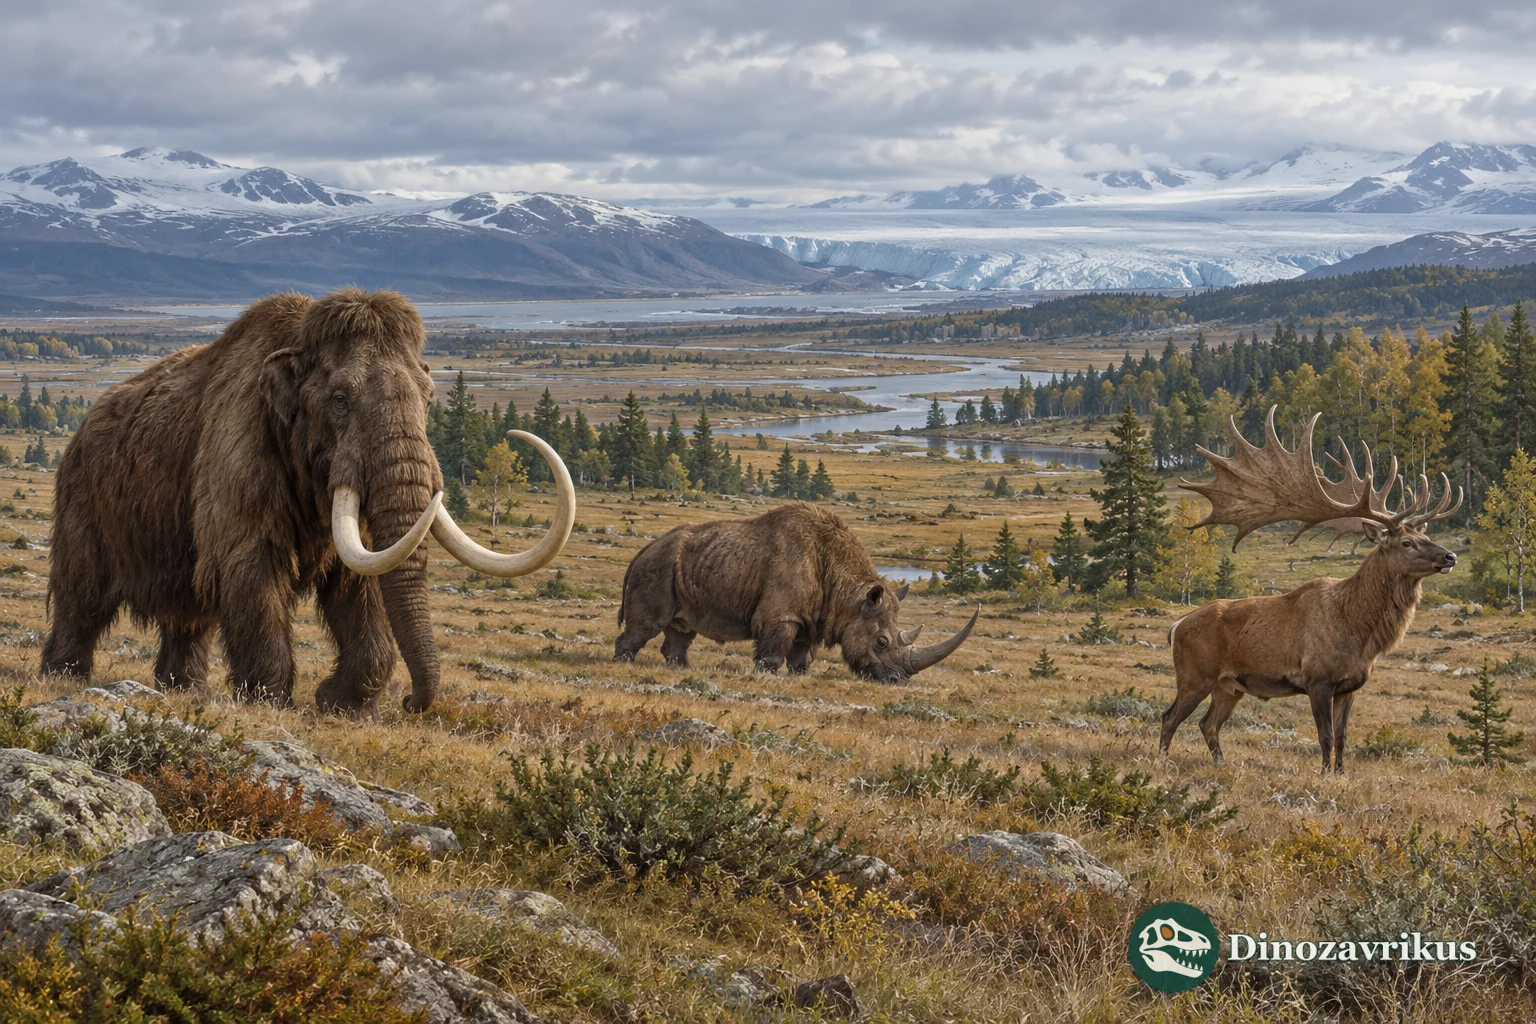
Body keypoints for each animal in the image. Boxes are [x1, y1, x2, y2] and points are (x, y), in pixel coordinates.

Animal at [615, 502, 975, 682]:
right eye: (881, 643)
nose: (898, 680)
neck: (849, 593)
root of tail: (644, 549)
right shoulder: (782, 614)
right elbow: (774, 650)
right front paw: (767, 675)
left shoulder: (814, 615)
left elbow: (802, 655)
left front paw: (799, 676)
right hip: (657, 568)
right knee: (647, 624)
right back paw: (625, 664)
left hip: (684, 567)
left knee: (681, 627)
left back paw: (681, 668)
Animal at [1160, 407, 1461, 773]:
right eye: (1407, 542)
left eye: (1426, 536)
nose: (1450, 556)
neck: (1359, 633)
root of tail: (1175, 626)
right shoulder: (1318, 679)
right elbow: (1326, 736)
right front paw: (1324, 774)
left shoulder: (1350, 686)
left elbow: (1343, 737)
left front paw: (1341, 773)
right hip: (1194, 675)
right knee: (1169, 717)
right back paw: (1161, 760)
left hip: (1228, 686)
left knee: (1208, 723)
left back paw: (1220, 763)